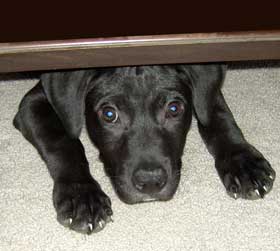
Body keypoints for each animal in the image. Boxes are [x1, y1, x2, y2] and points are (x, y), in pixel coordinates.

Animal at [13, 63, 276, 234]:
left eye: (174, 109)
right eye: (109, 114)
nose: (150, 182)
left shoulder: (205, 94)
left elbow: (218, 115)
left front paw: (243, 162)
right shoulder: (32, 102)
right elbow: (64, 142)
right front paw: (81, 195)